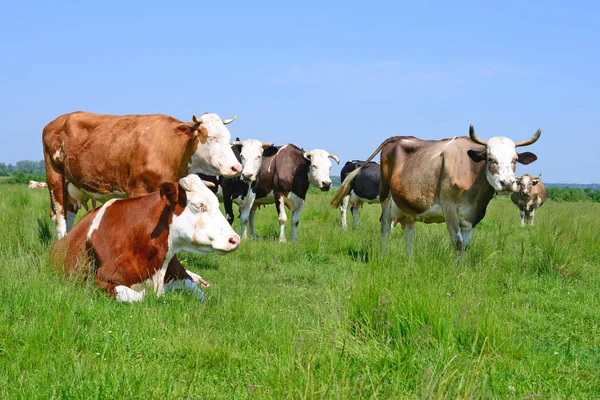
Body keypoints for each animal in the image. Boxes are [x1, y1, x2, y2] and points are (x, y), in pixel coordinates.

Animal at [41, 111, 244, 239]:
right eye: (211, 137)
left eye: (228, 138)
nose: (236, 167)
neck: (171, 148)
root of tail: (58, 121)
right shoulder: (137, 189)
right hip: (55, 177)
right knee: (59, 216)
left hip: (72, 188)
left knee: (68, 215)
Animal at [52, 175, 239, 304]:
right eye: (198, 205)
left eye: (217, 204)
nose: (235, 239)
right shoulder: (102, 281)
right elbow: (141, 296)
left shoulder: (180, 274)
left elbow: (200, 295)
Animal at [330, 124, 540, 256]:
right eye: (490, 158)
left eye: (515, 159)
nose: (507, 183)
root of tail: (398, 138)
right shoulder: (449, 209)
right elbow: (457, 243)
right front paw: (456, 275)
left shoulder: (471, 216)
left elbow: (466, 246)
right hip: (385, 196)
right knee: (385, 226)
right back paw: (383, 255)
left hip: (407, 201)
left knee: (408, 228)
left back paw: (410, 260)